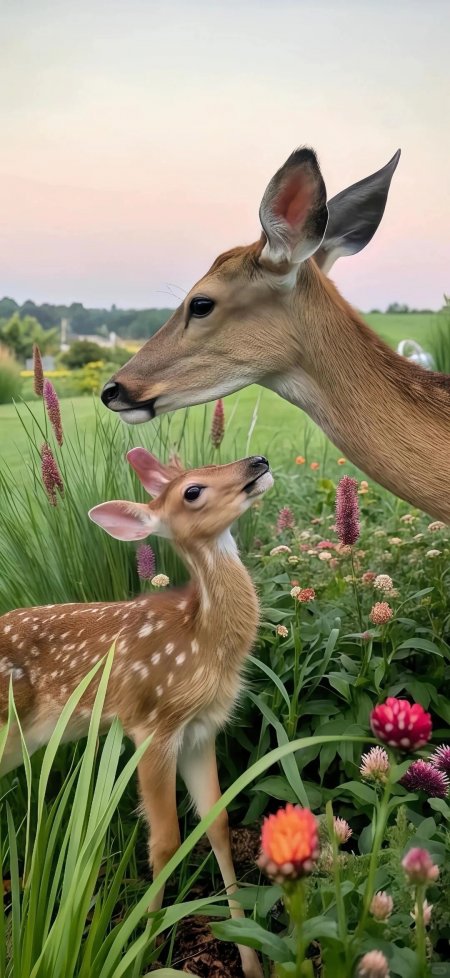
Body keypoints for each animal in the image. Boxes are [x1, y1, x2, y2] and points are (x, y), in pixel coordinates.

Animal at [0, 448, 273, 978]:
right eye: (192, 490)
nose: (257, 461)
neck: (200, 640)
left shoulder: (200, 731)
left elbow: (217, 826)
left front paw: (251, 959)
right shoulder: (149, 724)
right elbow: (164, 841)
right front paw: (144, 948)